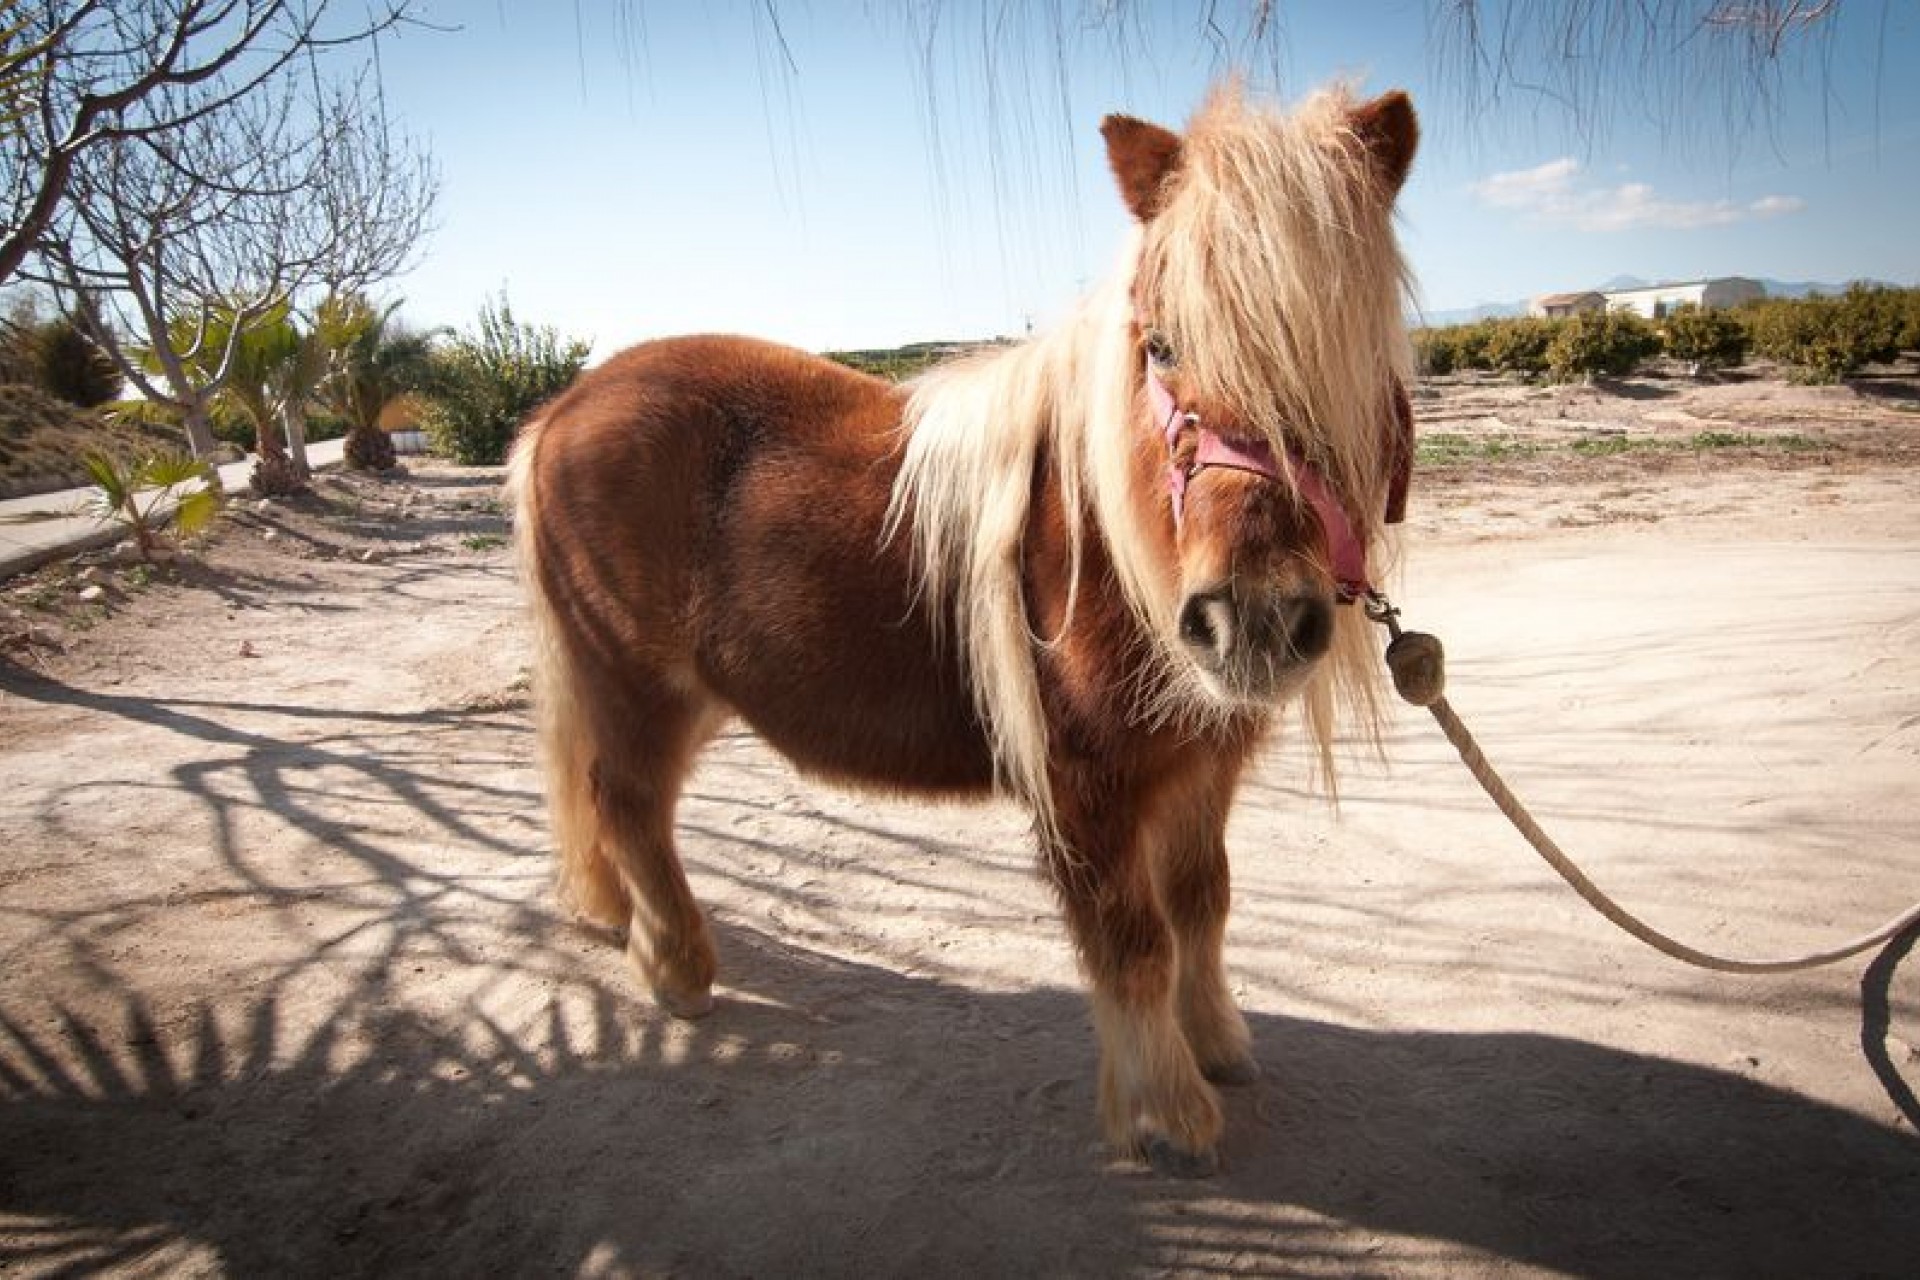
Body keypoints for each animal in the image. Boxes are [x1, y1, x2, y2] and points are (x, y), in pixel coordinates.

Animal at [518, 84, 1420, 1174]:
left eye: (1356, 353)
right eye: (1159, 346)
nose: (1249, 618)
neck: (1106, 540)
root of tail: (562, 410)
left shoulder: (1201, 769)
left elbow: (1203, 903)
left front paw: (1218, 1044)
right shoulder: (1087, 787)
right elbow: (1136, 942)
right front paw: (1169, 1114)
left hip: (691, 696)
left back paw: (627, 924)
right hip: (633, 682)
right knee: (629, 800)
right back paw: (679, 972)